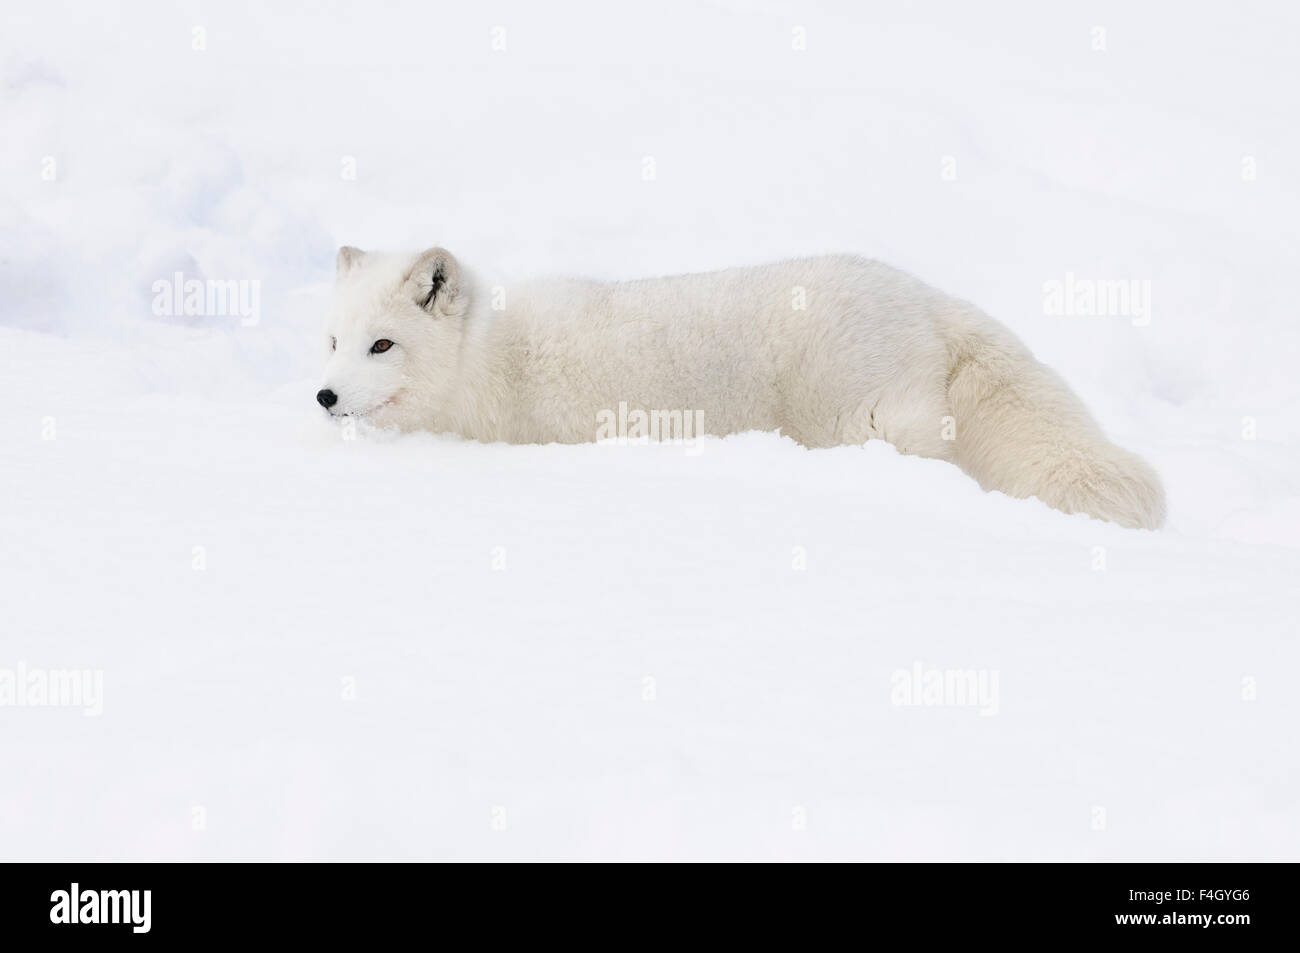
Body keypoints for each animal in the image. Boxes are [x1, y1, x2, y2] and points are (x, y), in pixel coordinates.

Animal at [317, 246, 1166, 529]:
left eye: (382, 345)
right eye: (331, 342)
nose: (324, 398)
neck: (485, 359)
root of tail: (926, 296)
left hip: (858, 421)